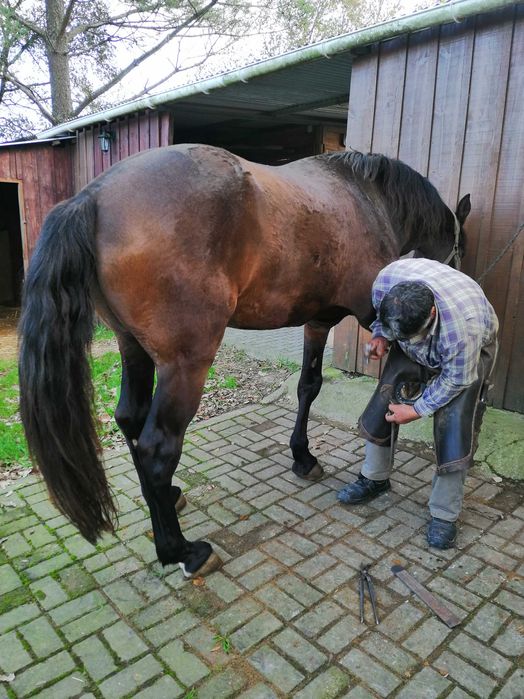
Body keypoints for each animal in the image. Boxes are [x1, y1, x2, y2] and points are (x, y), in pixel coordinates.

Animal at [18, 144, 470, 578]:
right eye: (458, 244)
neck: (365, 197)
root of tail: (93, 197)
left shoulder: (317, 322)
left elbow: (308, 387)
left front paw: (302, 457)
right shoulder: (374, 319)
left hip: (132, 347)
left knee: (130, 419)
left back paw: (166, 498)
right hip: (185, 366)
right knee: (157, 448)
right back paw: (182, 552)